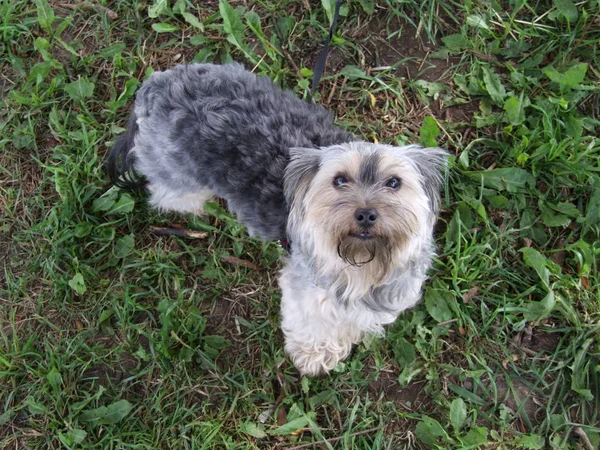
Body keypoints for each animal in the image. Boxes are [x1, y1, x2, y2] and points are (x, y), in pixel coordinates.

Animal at [108, 61, 448, 374]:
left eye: (394, 182)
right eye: (339, 180)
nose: (365, 214)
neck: (362, 265)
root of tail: (157, 84)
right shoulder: (307, 291)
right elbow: (313, 323)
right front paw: (314, 356)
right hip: (175, 171)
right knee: (164, 191)